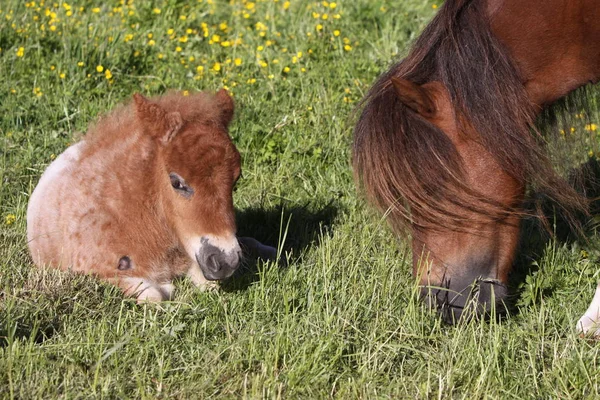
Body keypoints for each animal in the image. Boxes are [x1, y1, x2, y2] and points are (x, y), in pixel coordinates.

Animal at [25, 89, 274, 302]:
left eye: (236, 179)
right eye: (176, 182)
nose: (226, 261)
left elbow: (208, 283)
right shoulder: (91, 269)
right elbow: (153, 295)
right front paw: (166, 288)